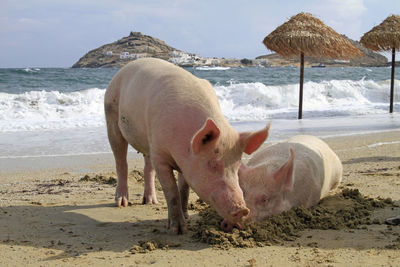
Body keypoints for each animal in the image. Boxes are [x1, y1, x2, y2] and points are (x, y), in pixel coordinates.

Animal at [104, 58, 270, 234]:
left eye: (237, 166)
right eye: (212, 164)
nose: (243, 210)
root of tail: (124, 68)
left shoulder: (184, 162)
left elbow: (184, 189)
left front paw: (187, 217)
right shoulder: (160, 154)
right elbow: (172, 191)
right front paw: (177, 229)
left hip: (146, 142)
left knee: (148, 167)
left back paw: (151, 202)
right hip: (111, 114)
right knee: (121, 161)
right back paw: (122, 203)